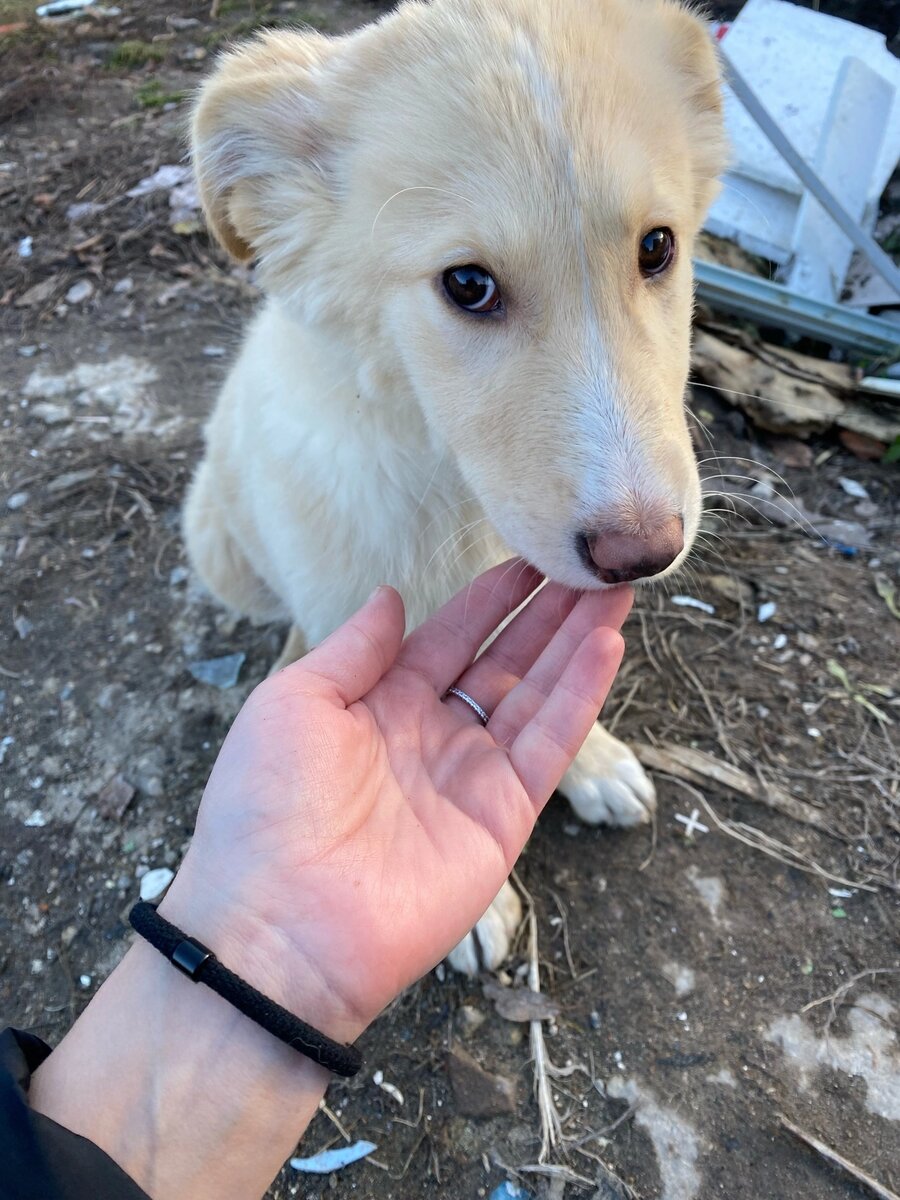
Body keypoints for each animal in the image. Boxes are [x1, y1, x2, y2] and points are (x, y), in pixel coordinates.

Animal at [183, 0, 724, 974]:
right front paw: (460, 905)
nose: (644, 554)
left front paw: (591, 760)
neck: (454, 493)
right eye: (468, 285)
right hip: (218, 540)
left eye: (658, 247)